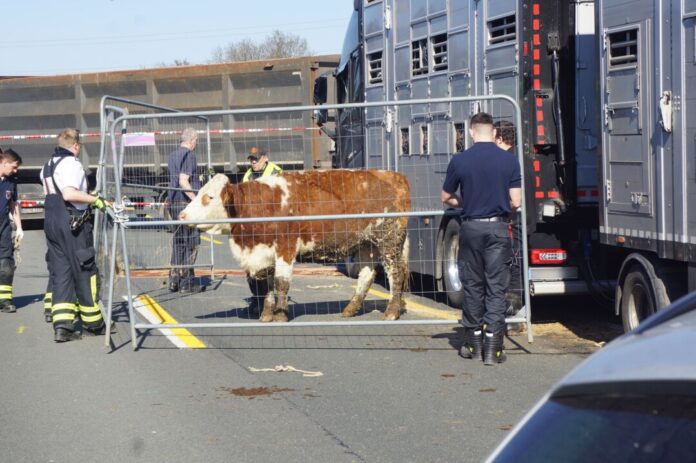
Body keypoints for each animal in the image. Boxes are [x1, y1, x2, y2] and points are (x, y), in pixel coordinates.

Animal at [179, 170, 410, 322]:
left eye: (209, 197)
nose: (181, 215)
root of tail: (394, 175)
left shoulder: (285, 248)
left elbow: (281, 283)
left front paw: (280, 315)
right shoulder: (264, 255)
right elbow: (266, 286)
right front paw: (266, 315)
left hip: (389, 242)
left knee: (396, 273)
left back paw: (391, 312)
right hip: (366, 245)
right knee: (367, 274)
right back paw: (350, 309)